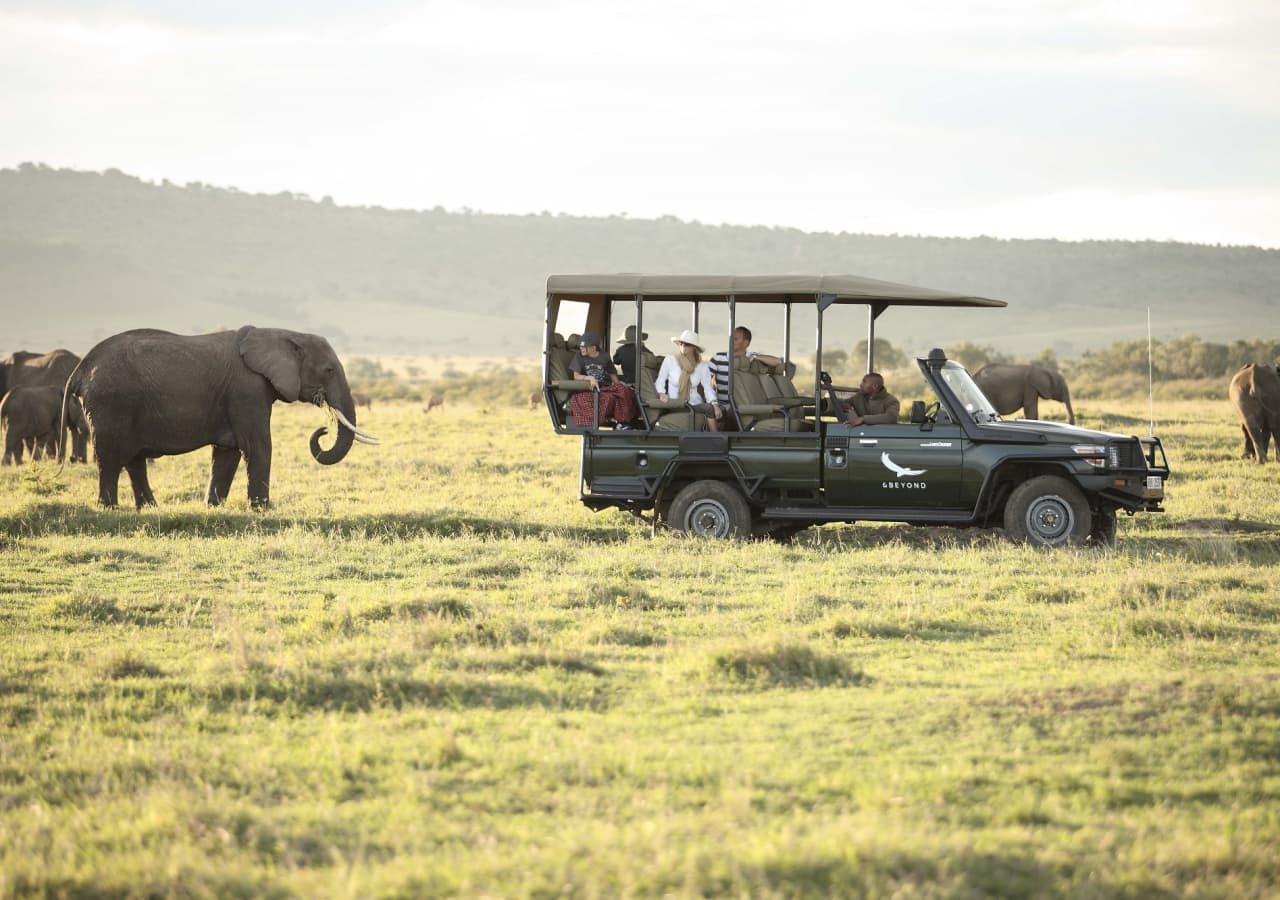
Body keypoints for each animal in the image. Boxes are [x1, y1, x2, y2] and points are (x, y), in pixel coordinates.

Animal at [66, 323, 373, 509]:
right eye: (329, 370)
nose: (323, 430)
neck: (283, 334)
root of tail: (81, 369)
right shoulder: (247, 390)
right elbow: (259, 446)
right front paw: (262, 510)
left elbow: (227, 453)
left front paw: (213, 508)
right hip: (110, 402)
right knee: (110, 458)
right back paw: (110, 509)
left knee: (134, 460)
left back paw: (150, 509)